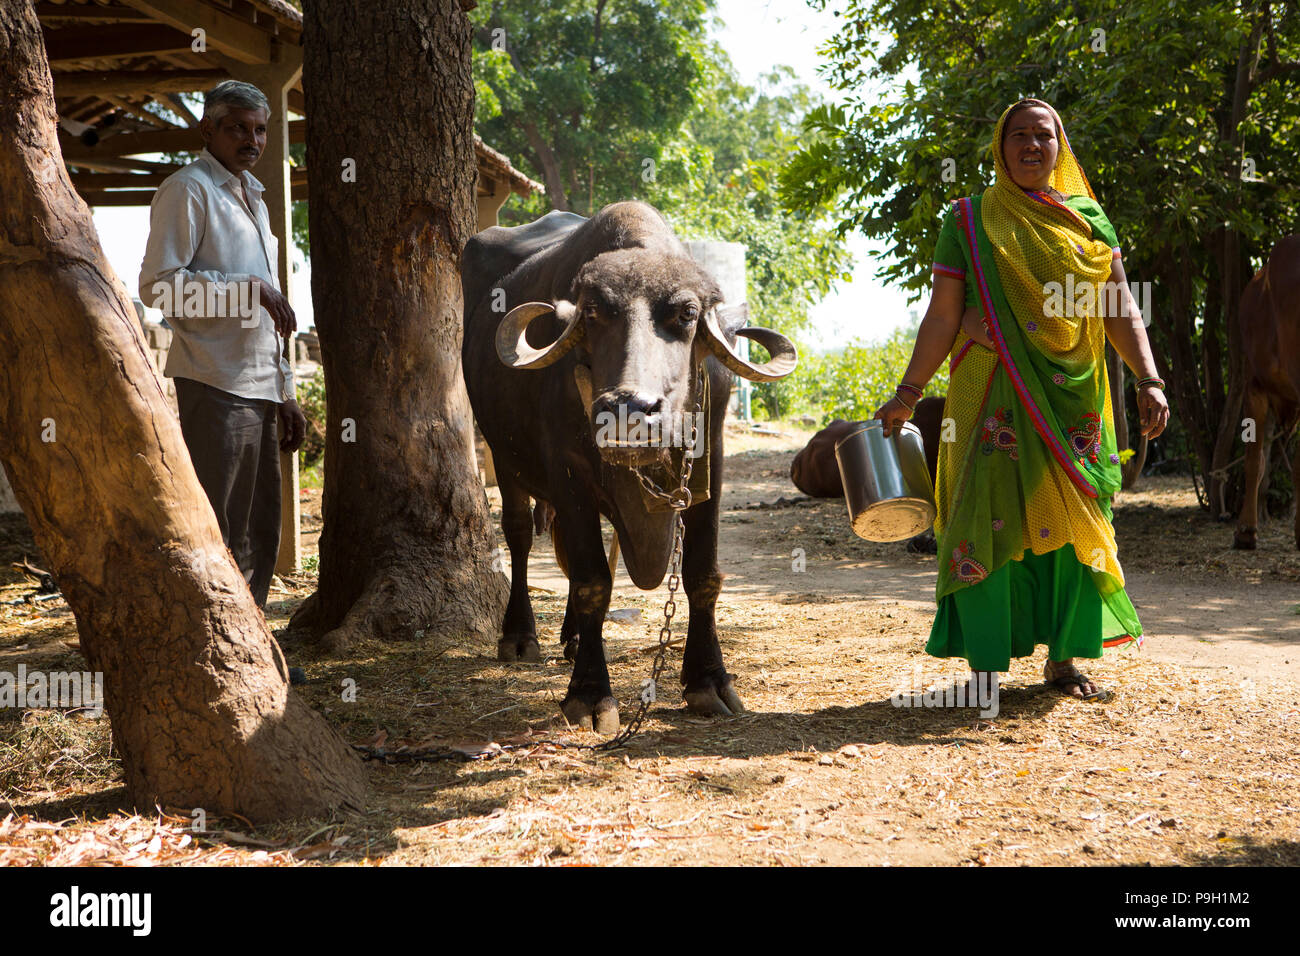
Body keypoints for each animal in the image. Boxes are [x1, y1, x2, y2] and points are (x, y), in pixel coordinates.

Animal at [462, 197, 795, 728]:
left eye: (686, 313)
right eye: (595, 312)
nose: (629, 409)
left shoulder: (712, 461)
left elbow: (702, 574)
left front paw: (708, 680)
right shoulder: (567, 469)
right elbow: (592, 580)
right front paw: (589, 693)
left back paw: (574, 637)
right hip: (500, 452)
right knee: (518, 534)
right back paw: (520, 636)